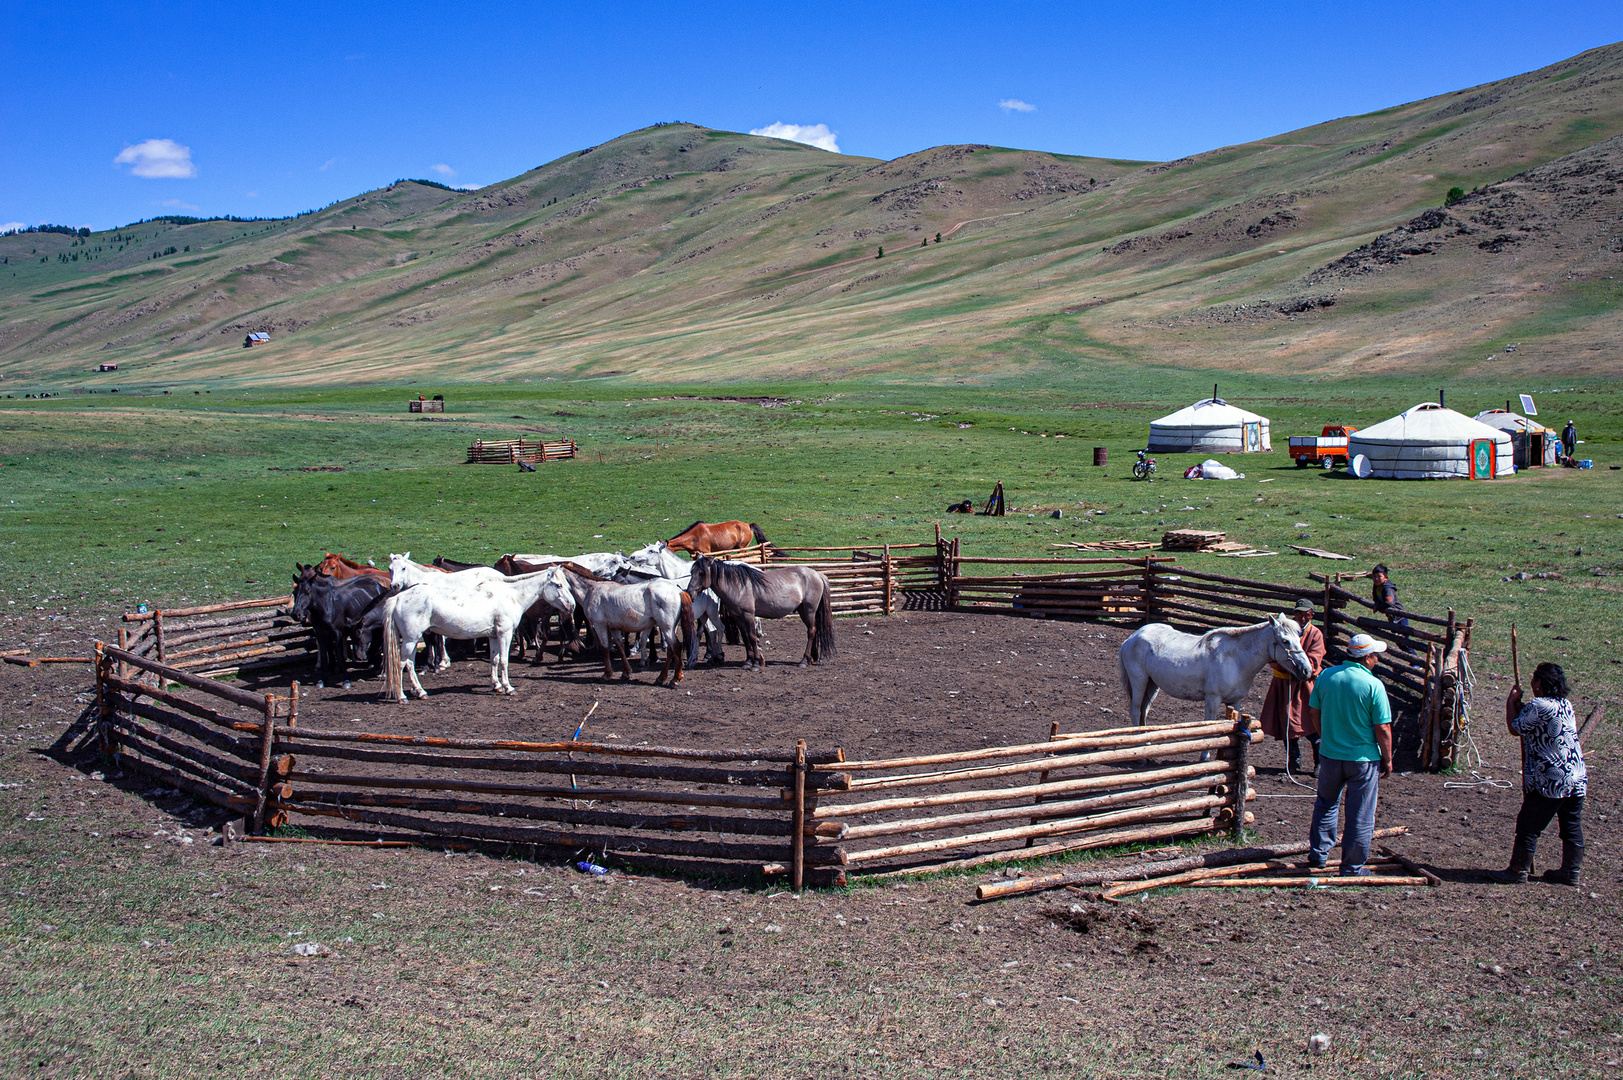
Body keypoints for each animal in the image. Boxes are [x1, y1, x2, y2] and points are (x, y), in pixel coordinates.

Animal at [383, 565, 574, 698]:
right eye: (558, 585)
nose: (572, 605)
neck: (510, 595)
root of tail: (398, 597)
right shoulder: (505, 634)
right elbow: (503, 661)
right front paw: (508, 687)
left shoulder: (493, 636)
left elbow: (494, 659)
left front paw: (496, 685)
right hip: (410, 640)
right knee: (401, 665)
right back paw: (401, 696)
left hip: (413, 640)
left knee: (409, 664)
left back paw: (420, 692)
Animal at [1116, 613, 1317, 724]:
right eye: (1285, 641)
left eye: (1300, 637)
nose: (1306, 670)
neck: (1236, 660)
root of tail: (1132, 637)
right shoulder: (1212, 699)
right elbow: (1210, 723)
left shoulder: (1236, 701)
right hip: (1139, 682)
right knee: (1135, 709)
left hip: (1152, 684)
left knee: (1144, 710)